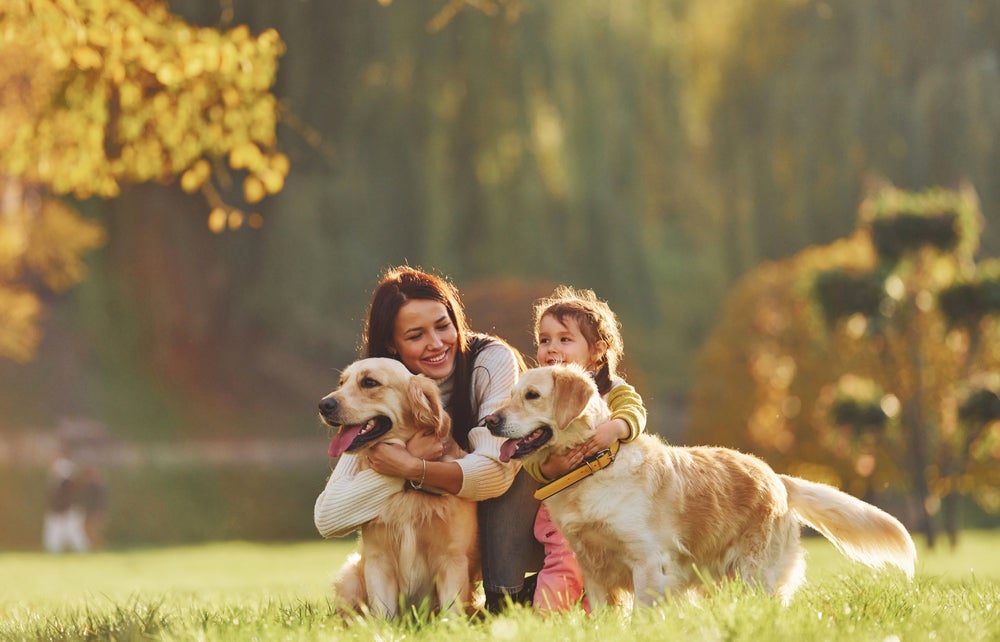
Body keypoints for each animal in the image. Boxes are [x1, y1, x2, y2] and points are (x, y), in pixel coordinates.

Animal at [318, 356, 478, 616]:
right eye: (342, 382)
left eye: (369, 382)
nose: (324, 405)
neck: (408, 491)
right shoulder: (378, 561)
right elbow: (383, 616)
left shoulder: (453, 561)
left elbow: (451, 614)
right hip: (350, 577)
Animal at [484, 362, 916, 608]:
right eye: (510, 395)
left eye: (532, 395)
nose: (489, 421)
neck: (593, 465)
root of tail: (776, 477)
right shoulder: (594, 569)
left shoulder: (649, 563)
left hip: (755, 575)